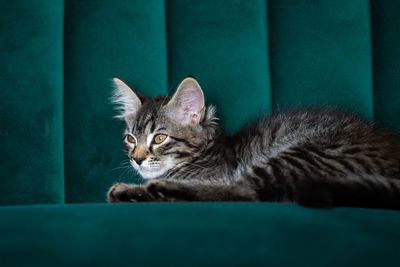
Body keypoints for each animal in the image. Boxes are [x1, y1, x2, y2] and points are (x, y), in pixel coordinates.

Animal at [107, 77, 400, 209]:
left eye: (159, 138)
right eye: (131, 139)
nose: (137, 159)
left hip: (307, 151)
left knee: (245, 191)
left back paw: (144, 189)